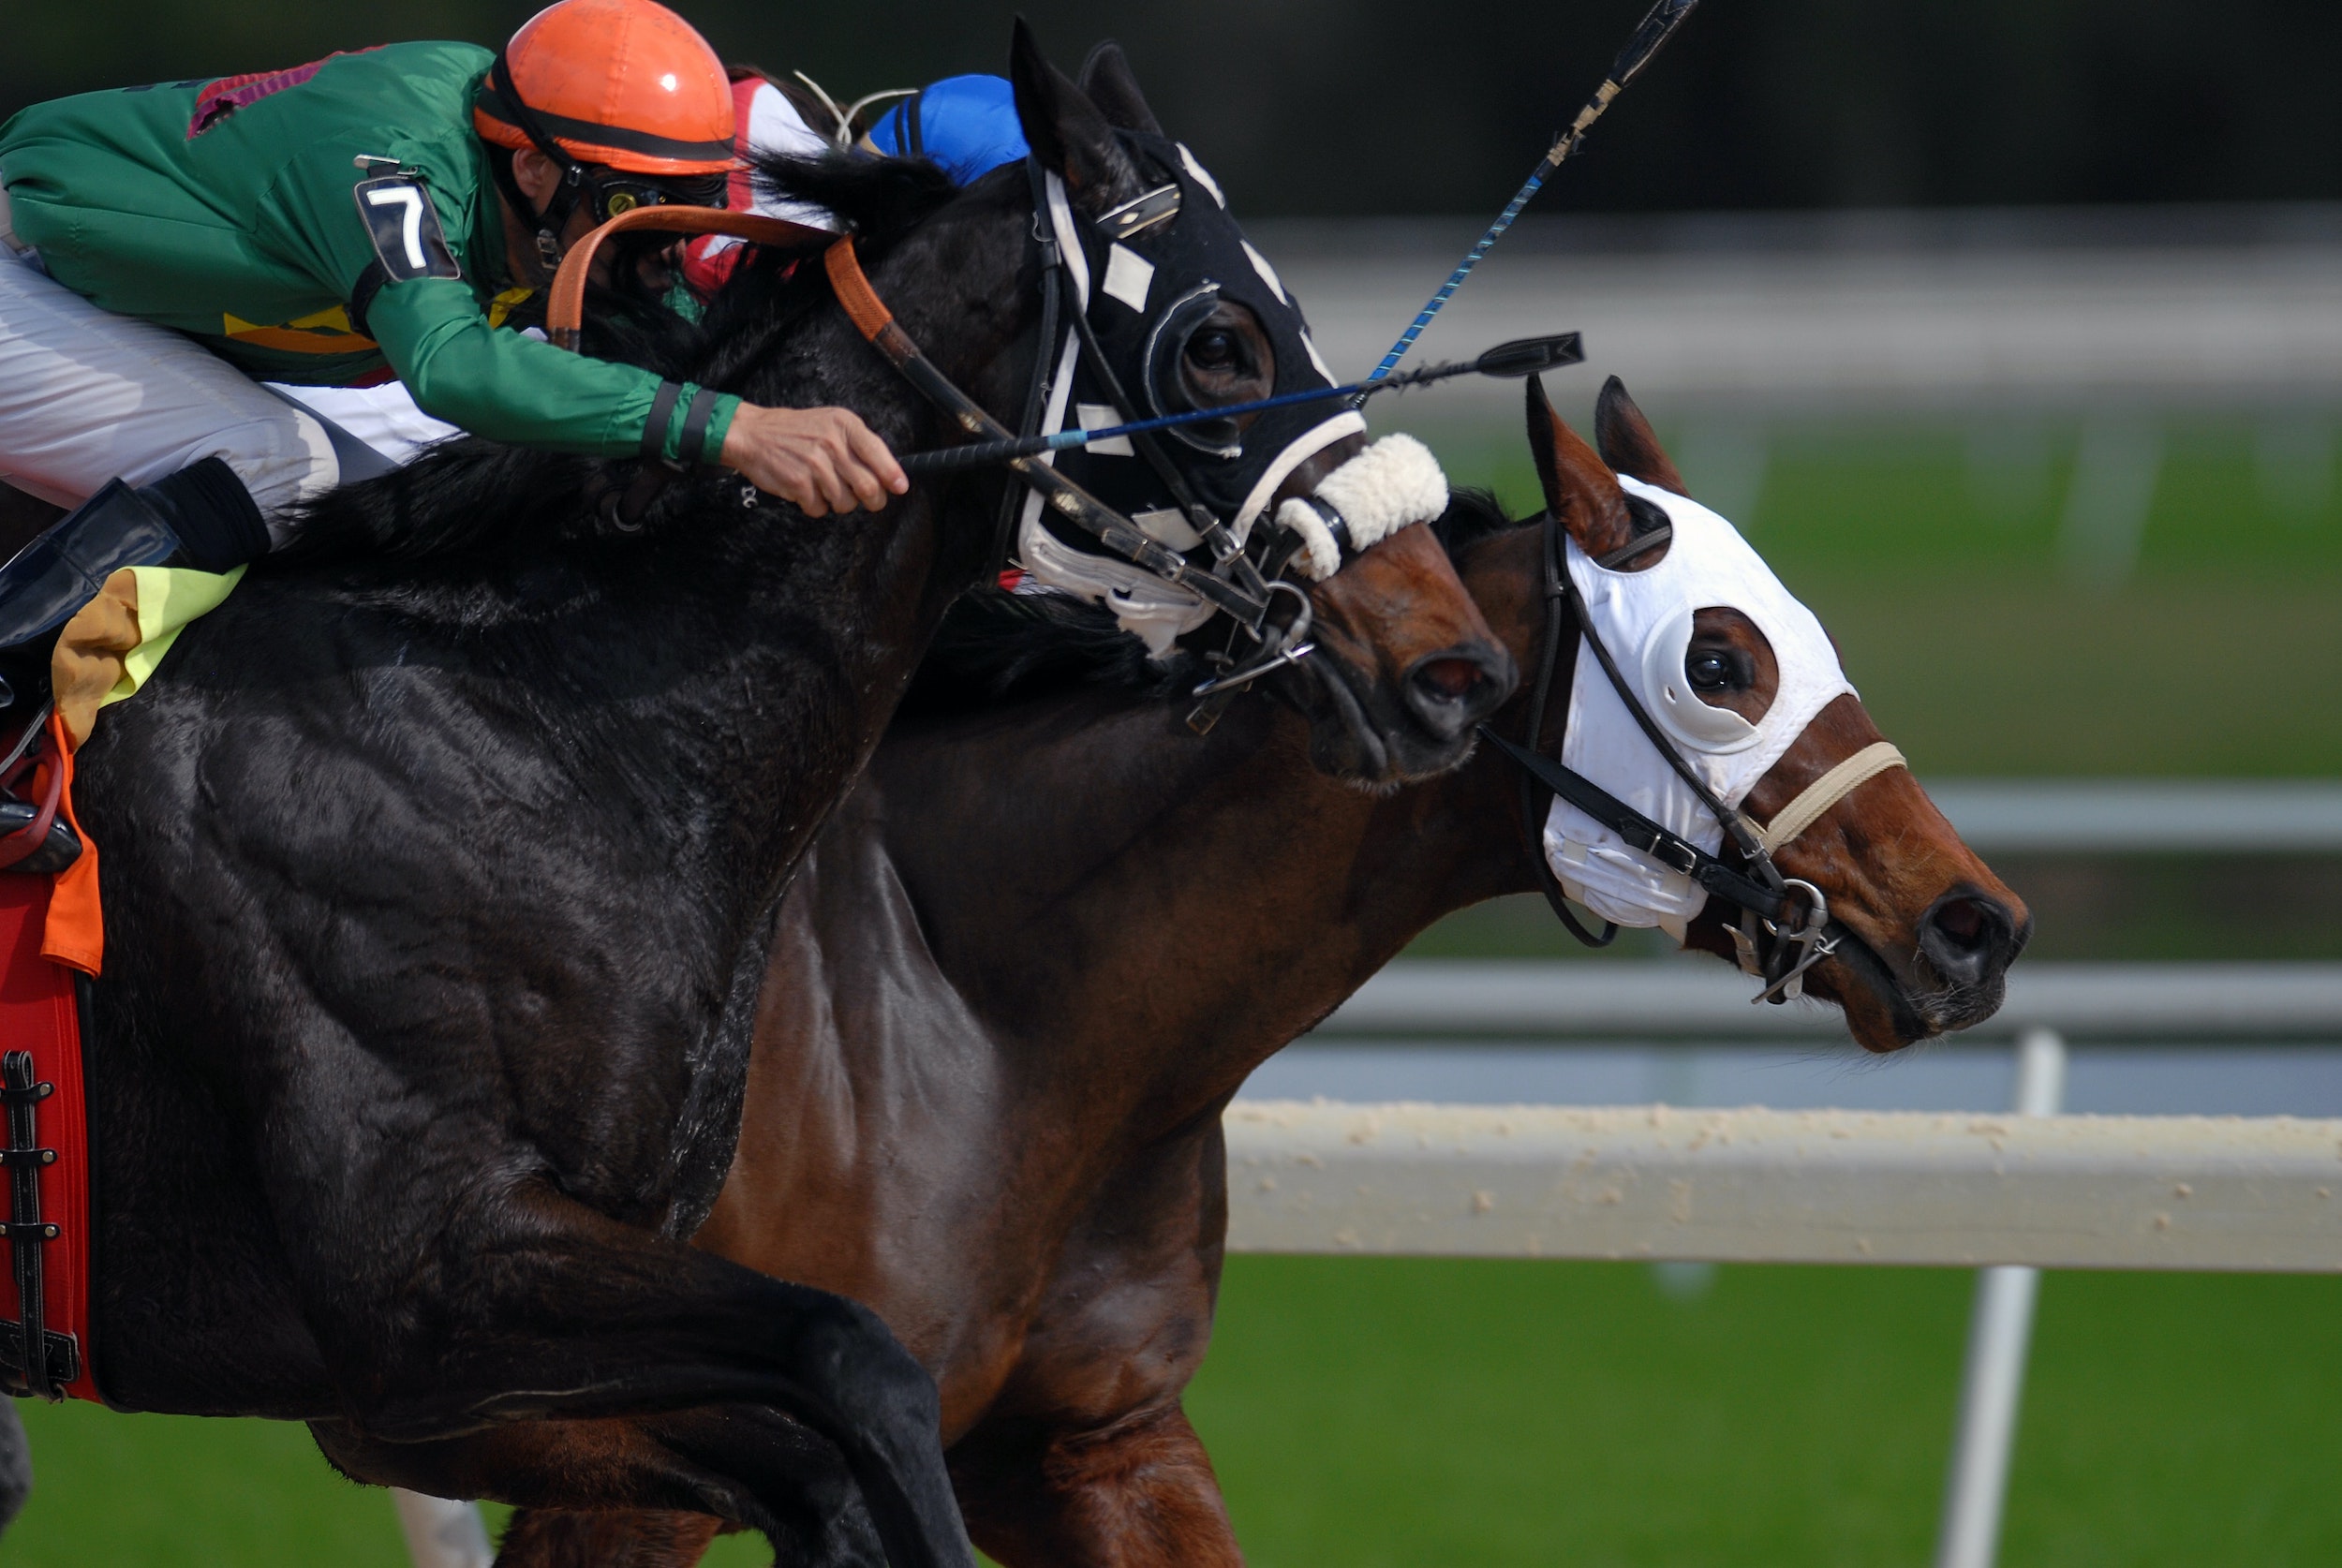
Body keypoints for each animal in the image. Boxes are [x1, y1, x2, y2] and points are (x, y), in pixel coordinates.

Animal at [8, 27, 1508, 1568]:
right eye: (1216, 341)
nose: (1448, 667)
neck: (545, 725)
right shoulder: (425, 1286)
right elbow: (860, 1363)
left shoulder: (497, 1361)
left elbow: (826, 1458)